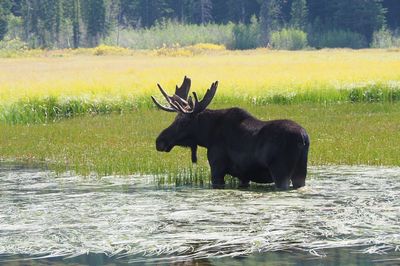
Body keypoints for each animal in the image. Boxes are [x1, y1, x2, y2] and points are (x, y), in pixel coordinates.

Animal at [150, 76, 310, 190]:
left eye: (182, 122)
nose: (159, 141)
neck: (207, 137)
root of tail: (303, 138)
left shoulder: (217, 168)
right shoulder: (244, 175)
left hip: (280, 171)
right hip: (301, 172)